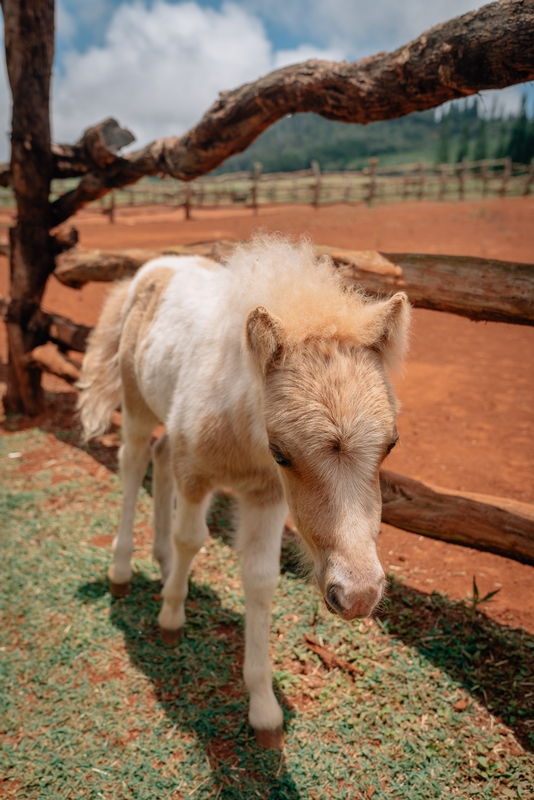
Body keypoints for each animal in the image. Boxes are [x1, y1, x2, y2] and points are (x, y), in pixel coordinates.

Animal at [79, 234, 412, 748]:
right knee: (133, 462)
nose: (357, 595)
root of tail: (151, 269)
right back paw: (122, 569)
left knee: (160, 456)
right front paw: (170, 619)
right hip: (136, 405)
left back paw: (161, 562)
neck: (243, 432)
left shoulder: (266, 497)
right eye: (281, 451)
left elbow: (260, 578)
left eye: (390, 444)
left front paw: (264, 709)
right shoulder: (197, 475)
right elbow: (191, 538)